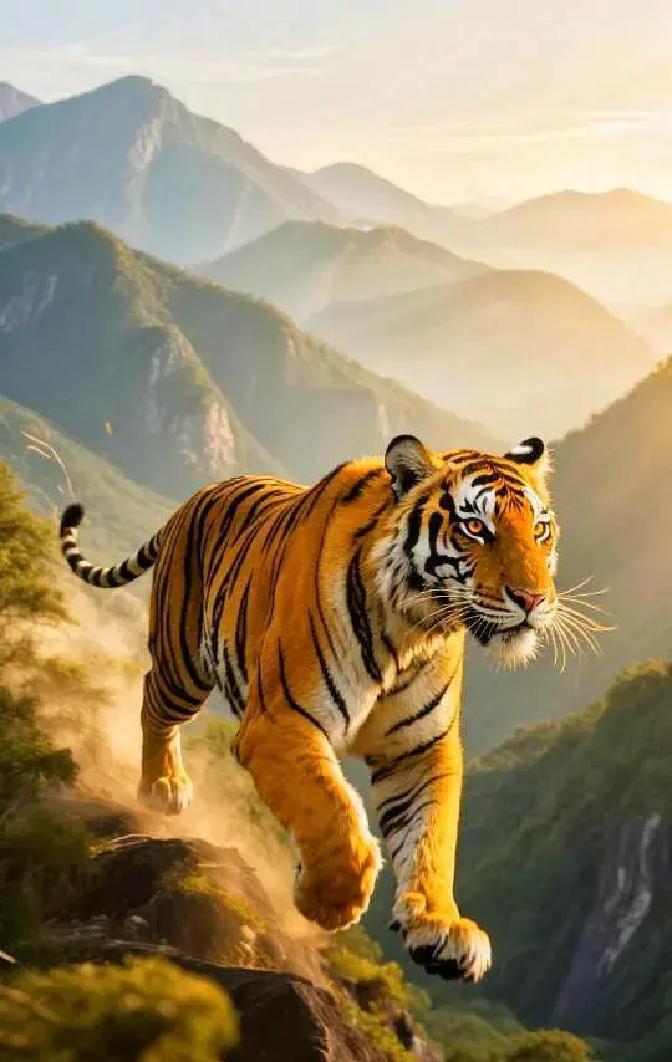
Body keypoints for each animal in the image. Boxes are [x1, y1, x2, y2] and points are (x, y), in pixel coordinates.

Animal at [59, 433, 559, 984]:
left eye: (539, 530)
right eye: (475, 528)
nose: (533, 599)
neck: (412, 629)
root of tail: (194, 498)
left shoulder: (421, 749)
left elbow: (431, 837)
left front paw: (440, 928)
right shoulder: (280, 721)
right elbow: (332, 809)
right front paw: (327, 901)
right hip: (183, 661)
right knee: (152, 697)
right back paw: (162, 785)